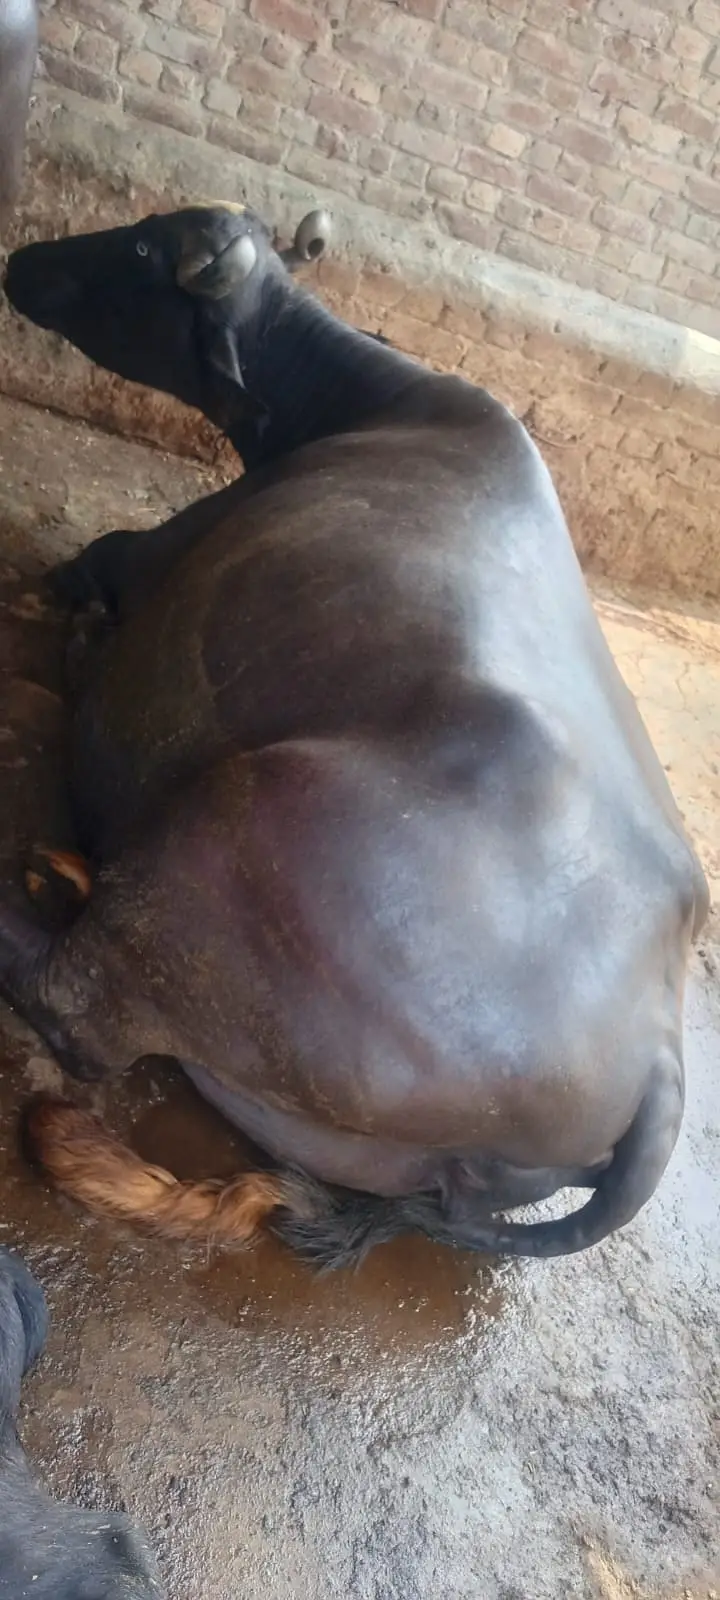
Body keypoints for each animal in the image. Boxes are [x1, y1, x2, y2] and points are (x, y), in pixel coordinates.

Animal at [0, 201, 708, 1267]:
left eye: (141, 246)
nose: (21, 260)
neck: (372, 407)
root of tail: (663, 1060)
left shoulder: (140, 552)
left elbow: (93, 558)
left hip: (239, 831)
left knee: (70, 1000)